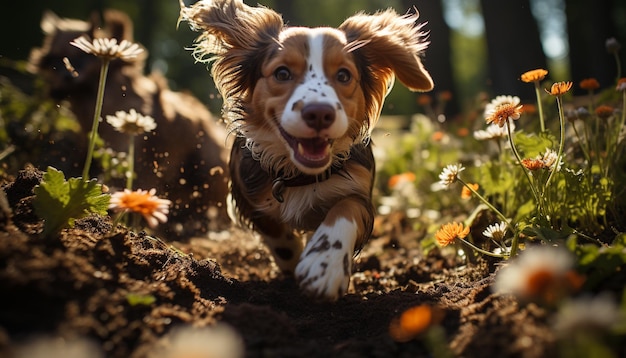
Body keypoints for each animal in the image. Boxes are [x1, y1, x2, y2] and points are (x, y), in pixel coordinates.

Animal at [178, 0, 432, 300]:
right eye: (282, 73)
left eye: (344, 75)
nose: (319, 113)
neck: (299, 174)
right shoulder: (248, 195)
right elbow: (278, 235)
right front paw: (294, 261)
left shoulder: (360, 190)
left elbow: (345, 209)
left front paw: (324, 264)